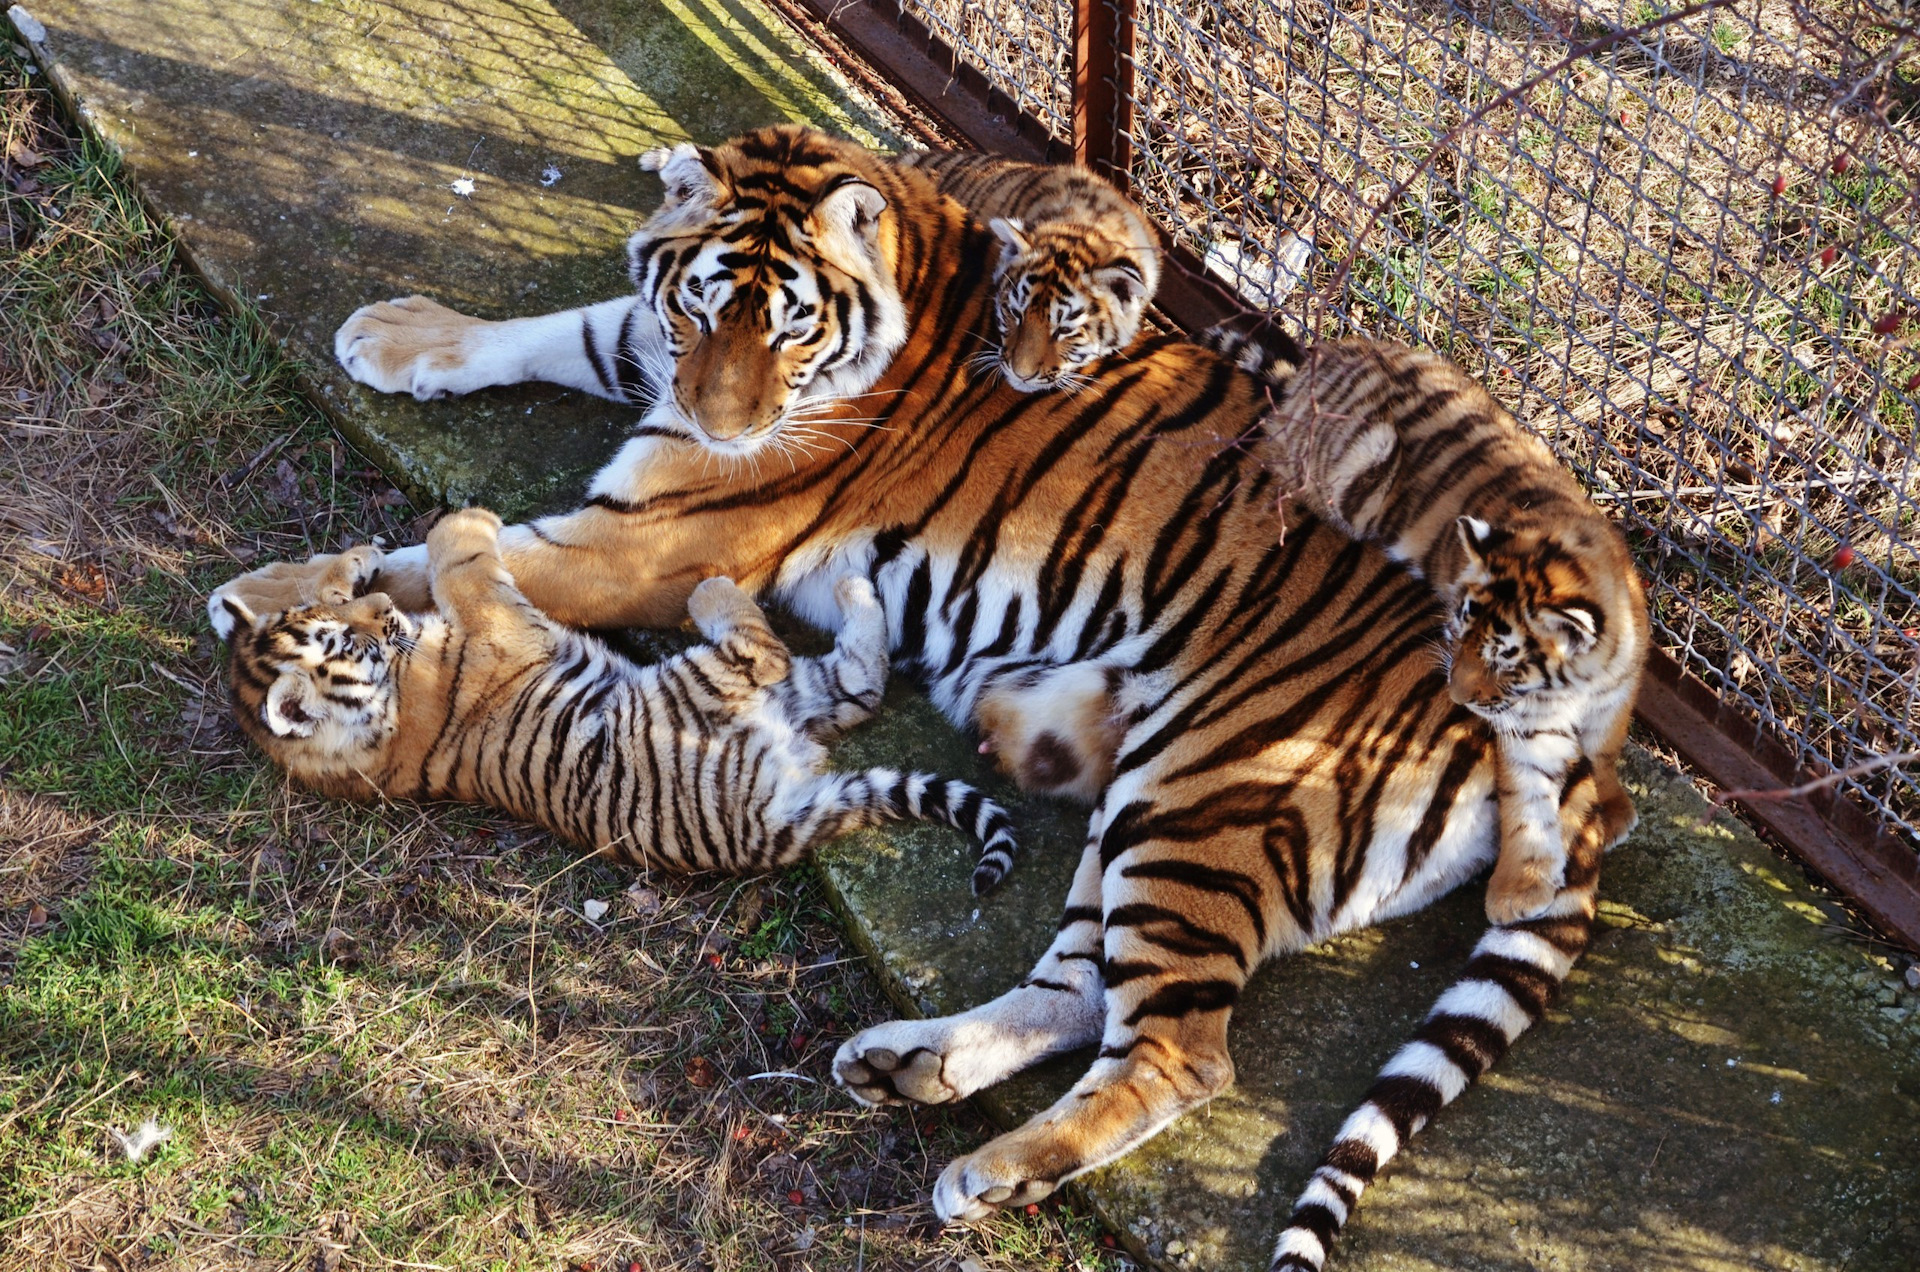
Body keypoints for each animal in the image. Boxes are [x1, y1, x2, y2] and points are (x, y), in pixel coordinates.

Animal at [214, 507, 1021, 895]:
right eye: (345, 646)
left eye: (342, 625)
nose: (381, 611)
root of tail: (777, 825)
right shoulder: (496, 621)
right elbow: (464, 561)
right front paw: (466, 520)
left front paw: (354, 564)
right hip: (706, 686)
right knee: (764, 648)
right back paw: (727, 588)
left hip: (797, 696)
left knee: (857, 681)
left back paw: (852, 582)